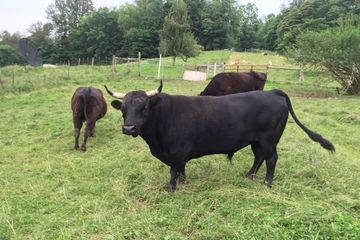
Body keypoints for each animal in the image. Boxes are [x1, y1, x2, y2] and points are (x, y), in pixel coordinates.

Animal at [105, 82, 334, 191]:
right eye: (123, 109)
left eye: (144, 107)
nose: (128, 128)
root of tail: (271, 92)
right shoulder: (179, 155)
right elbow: (182, 170)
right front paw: (184, 183)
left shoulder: (177, 152)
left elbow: (174, 171)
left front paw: (172, 189)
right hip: (257, 141)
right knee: (258, 157)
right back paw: (249, 176)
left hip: (269, 140)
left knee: (271, 159)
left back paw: (267, 183)